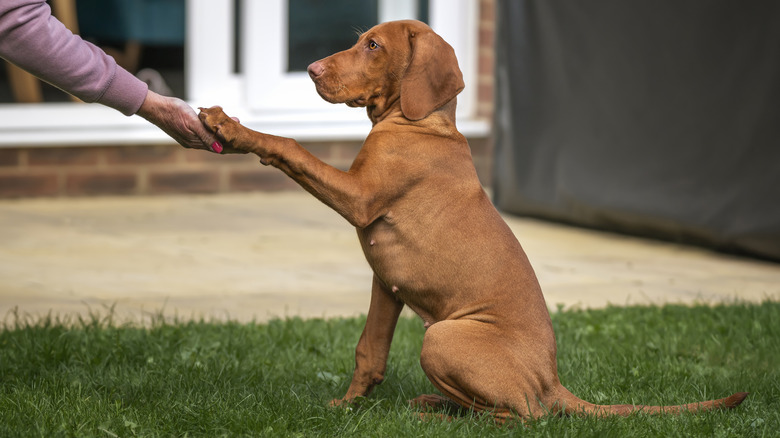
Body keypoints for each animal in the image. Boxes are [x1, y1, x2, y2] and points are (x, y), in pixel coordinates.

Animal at [197, 18, 748, 420]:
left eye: (373, 45)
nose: (310, 69)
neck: (419, 120)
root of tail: (553, 382)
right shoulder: (385, 282)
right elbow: (368, 350)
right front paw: (346, 406)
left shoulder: (359, 198)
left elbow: (290, 146)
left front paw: (232, 127)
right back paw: (431, 403)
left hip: (444, 337)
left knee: (521, 417)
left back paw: (432, 414)